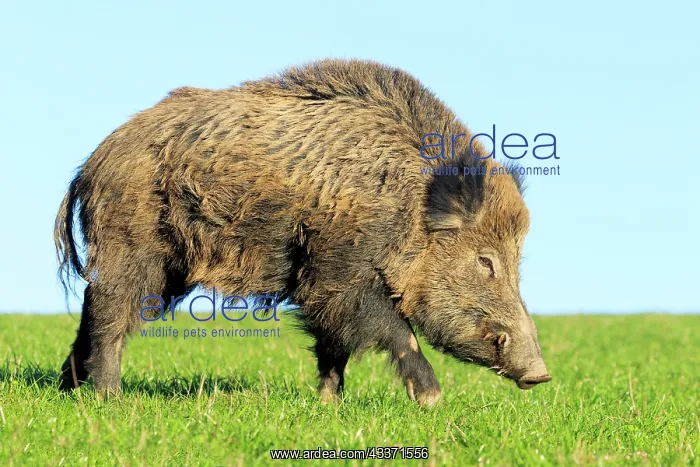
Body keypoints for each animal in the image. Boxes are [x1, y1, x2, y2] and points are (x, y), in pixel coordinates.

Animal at [55, 58, 551, 406]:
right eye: (485, 260)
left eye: (517, 260)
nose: (541, 374)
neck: (406, 206)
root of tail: (92, 163)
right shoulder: (338, 273)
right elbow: (393, 329)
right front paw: (432, 400)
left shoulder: (324, 287)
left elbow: (334, 347)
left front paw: (329, 404)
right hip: (134, 245)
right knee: (110, 310)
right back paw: (109, 398)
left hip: (169, 267)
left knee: (92, 305)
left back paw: (68, 389)